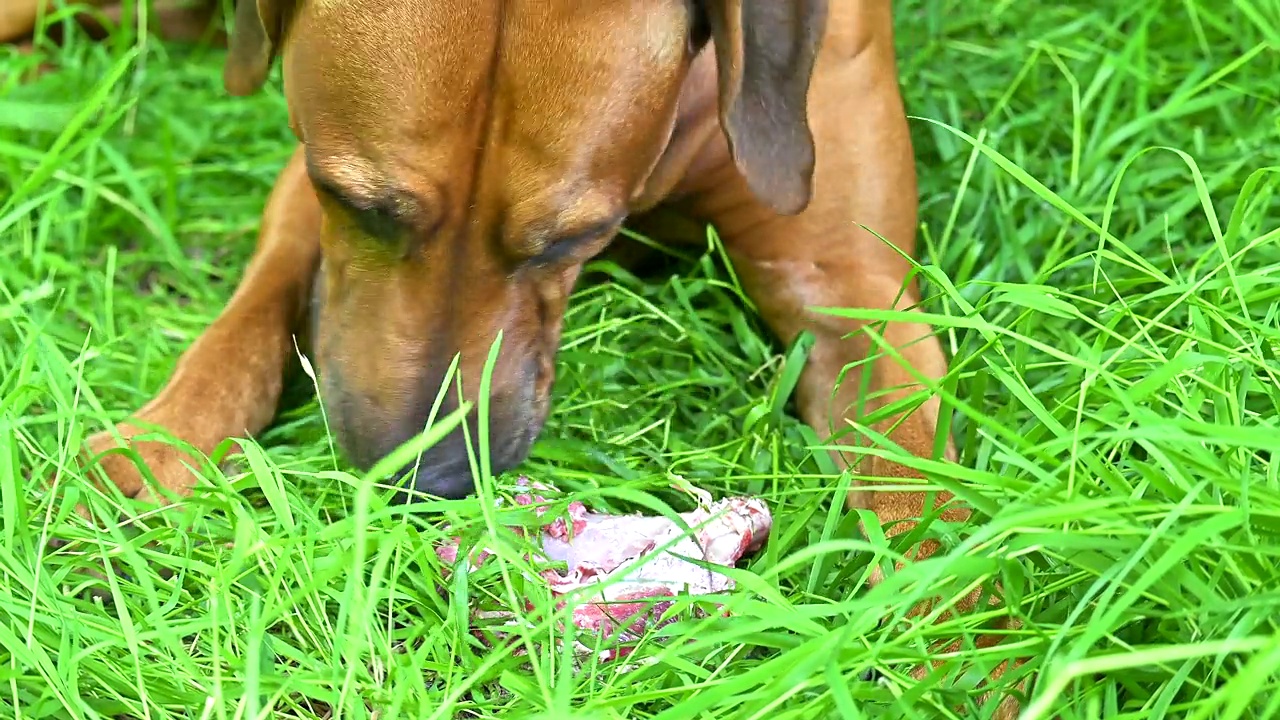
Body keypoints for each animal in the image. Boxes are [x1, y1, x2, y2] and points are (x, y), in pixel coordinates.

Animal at [20, 0, 1018, 712]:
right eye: (358, 201)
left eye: (574, 238)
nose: (427, 483)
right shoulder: (306, 189)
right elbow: (252, 316)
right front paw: (152, 450)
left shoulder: (850, 283)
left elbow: (922, 486)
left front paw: (961, 643)